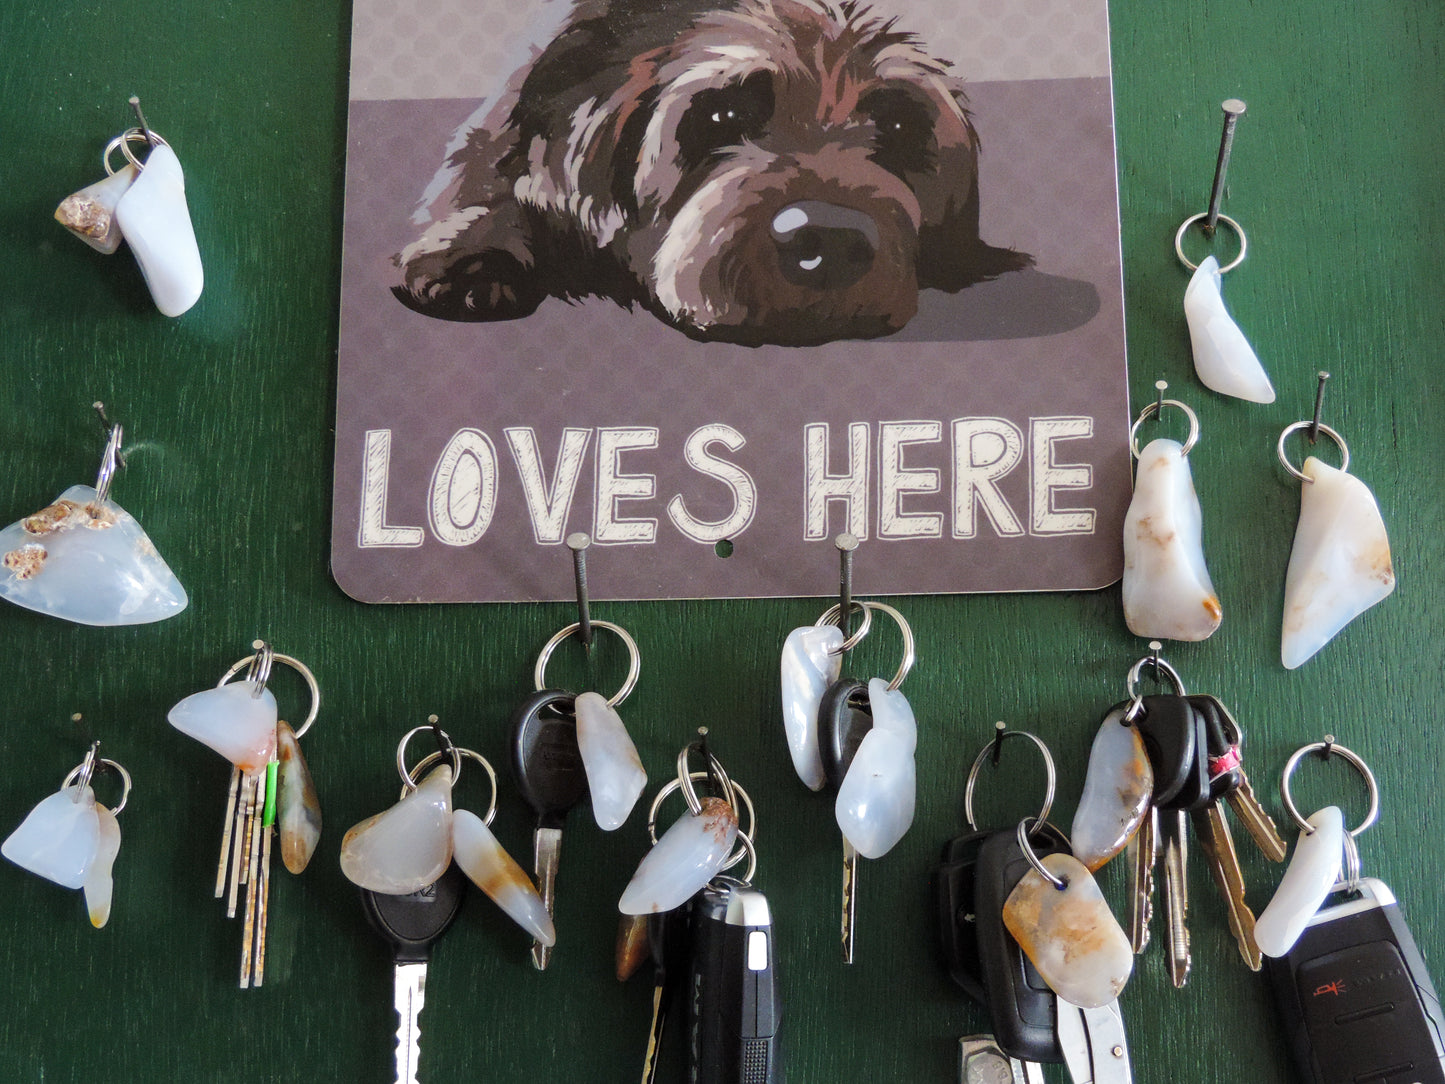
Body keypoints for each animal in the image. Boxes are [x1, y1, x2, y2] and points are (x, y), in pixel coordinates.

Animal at [393, 0, 1028, 348]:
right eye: (723, 115)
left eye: (898, 128)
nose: (827, 238)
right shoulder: (497, 128)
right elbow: (485, 183)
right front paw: (472, 257)